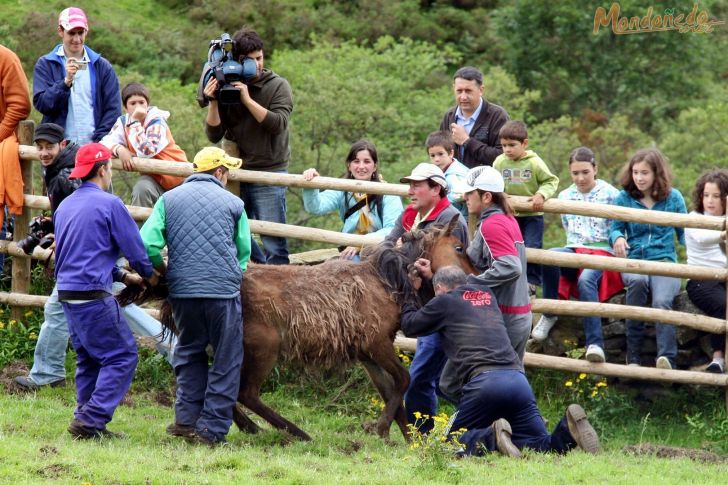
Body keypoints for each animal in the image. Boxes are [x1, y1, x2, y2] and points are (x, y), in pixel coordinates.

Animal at [122, 215, 474, 438]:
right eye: (458, 246)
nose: (474, 273)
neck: (389, 283)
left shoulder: (366, 351)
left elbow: (391, 391)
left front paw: (405, 438)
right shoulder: (376, 342)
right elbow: (403, 380)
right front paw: (380, 428)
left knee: (214, 383)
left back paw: (248, 428)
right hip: (263, 346)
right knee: (245, 392)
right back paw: (292, 431)